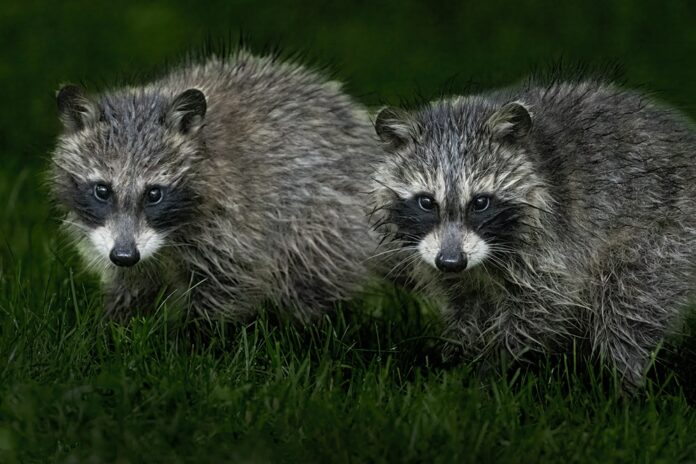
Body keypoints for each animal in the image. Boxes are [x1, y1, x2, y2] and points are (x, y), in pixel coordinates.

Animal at [50, 49, 383, 321]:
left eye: (154, 194)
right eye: (102, 190)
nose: (124, 255)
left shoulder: (237, 222)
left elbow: (225, 286)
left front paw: (194, 339)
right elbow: (131, 283)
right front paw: (113, 325)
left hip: (327, 218)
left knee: (308, 275)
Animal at [371, 79, 696, 388]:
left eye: (480, 202)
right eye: (427, 202)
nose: (451, 262)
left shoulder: (552, 244)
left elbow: (541, 308)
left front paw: (490, 368)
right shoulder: (441, 261)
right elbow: (464, 307)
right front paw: (458, 358)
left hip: (662, 236)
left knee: (626, 303)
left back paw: (626, 383)